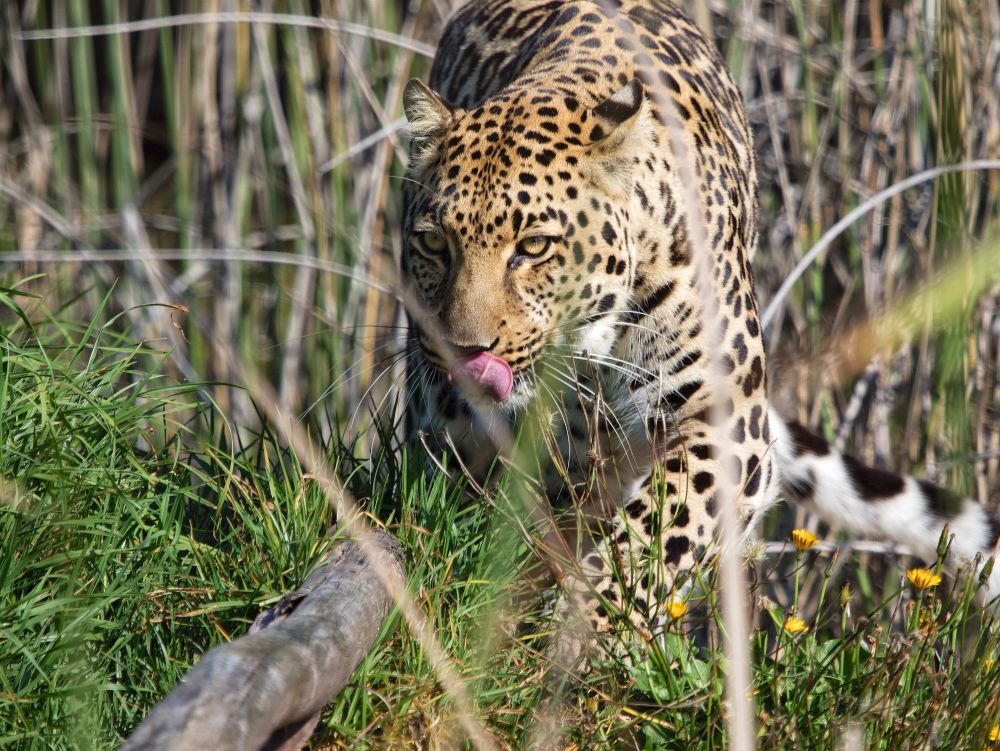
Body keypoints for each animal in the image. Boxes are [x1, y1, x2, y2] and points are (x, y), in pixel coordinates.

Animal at [398, 0, 1000, 652]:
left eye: (534, 246)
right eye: (434, 243)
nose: (465, 350)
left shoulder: (726, 419)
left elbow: (661, 529)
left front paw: (592, 631)